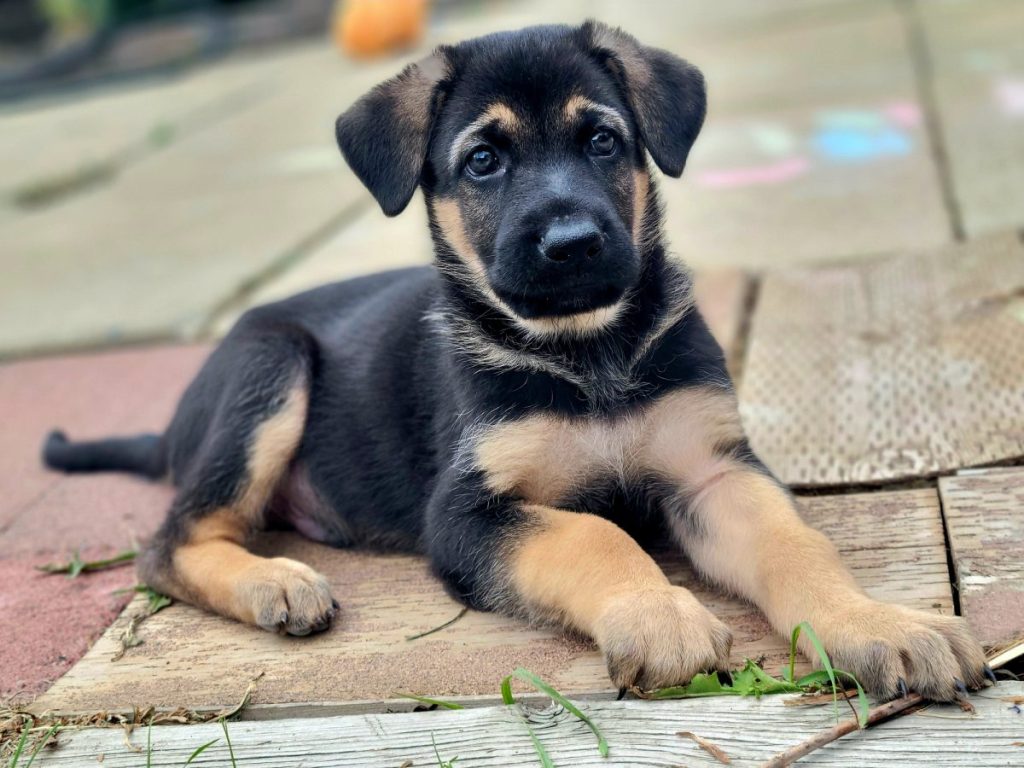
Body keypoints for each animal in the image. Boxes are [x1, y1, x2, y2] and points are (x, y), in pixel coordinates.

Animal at [46, 20, 991, 704]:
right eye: (483, 160)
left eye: (603, 141)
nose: (572, 243)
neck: (587, 351)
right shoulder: (468, 514)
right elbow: (595, 535)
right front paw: (660, 615)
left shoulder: (715, 472)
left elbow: (800, 549)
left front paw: (876, 625)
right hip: (269, 367)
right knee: (168, 545)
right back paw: (276, 584)